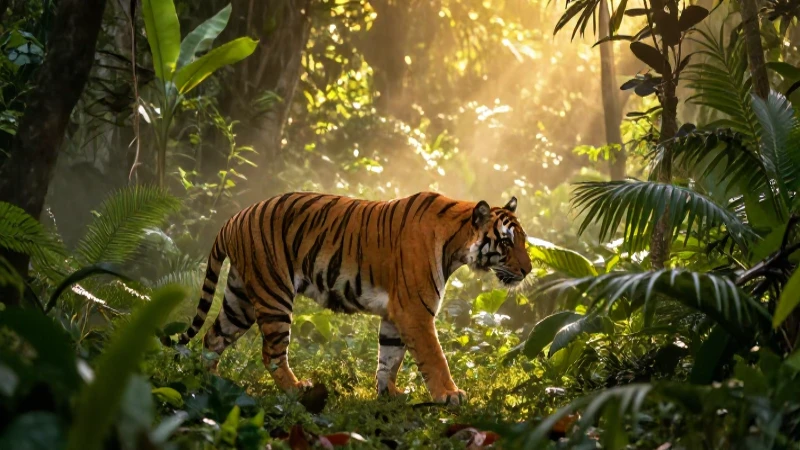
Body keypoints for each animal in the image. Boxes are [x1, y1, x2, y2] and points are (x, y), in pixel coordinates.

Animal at [171, 191, 532, 404]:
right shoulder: (415, 311)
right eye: (506, 242)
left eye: (523, 240)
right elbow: (434, 357)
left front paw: (389, 394)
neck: (456, 243)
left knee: (213, 337)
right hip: (273, 294)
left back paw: (210, 383)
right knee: (270, 353)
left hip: (241, 299)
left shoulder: (396, 313)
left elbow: (390, 357)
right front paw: (449, 395)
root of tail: (234, 219)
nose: (528, 270)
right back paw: (296, 389)